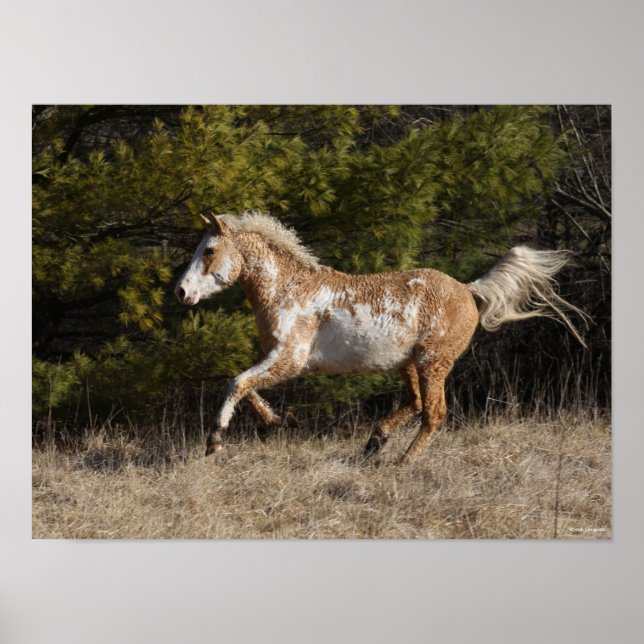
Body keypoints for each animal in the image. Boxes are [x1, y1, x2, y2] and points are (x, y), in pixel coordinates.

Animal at [175, 211, 587, 463]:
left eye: (209, 250)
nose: (181, 291)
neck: (289, 290)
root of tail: (468, 290)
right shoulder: (276, 359)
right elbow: (247, 388)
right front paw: (283, 421)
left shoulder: (290, 359)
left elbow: (236, 383)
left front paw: (214, 441)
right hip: (408, 364)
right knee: (416, 404)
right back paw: (374, 444)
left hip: (433, 363)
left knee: (433, 413)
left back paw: (402, 461)